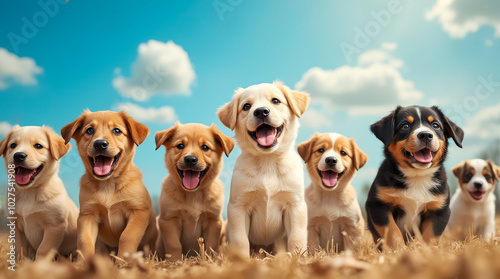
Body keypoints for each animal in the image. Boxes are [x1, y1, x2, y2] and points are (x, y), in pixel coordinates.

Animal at [0, 126, 77, 260]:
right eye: (13, 145)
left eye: (38, 146)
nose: (18, 155)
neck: (29, 192)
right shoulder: (16, 225)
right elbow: (19, 250)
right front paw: (20, 264)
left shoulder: (55, 225)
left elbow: (43, 250)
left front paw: (39, 265)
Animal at [61, 110, 157, 262]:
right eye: (89, 130)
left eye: (117, 131)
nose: (100, 143)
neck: (108, 184)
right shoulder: (87, 215)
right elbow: (84, 240)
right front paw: (83, 262)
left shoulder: (139, 211)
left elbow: (127, 236)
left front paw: (123, 261)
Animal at [154, 123, 234, 262]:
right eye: (180, 145)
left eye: (205, 147)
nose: (190, 159)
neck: (193, 194)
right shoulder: (168, 220)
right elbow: (174, 244)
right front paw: (175, 262)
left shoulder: (213, 221)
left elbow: (211, 245)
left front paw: (209, 260)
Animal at [218, 80, 308, 256]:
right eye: (246, 106)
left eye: (275, 101)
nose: (261, 112)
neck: (268, 161)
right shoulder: (238, 207)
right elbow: (240, 240)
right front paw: (241, 259)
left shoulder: (295, 205)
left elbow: (297, 237)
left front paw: (298, 257)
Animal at [364, 105, 464, 249]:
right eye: (405, 125)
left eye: (435, 125)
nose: (425, 135)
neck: (417, 176)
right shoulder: (378, 205)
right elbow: (392, 231)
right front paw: (398, 250)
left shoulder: (439, 209)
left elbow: (431, 236)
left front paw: (427, 251)